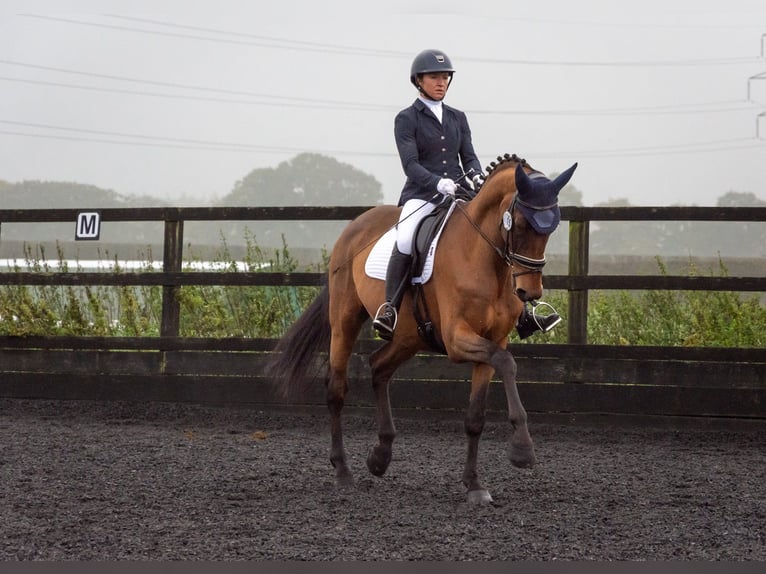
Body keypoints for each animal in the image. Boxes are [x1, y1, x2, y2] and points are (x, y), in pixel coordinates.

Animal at [268, 153, 580, 504]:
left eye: (552, 227)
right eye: (523, 224)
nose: (530, 292)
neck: (483, 257)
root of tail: (355, 226)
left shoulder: (493, 339)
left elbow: (477, 415)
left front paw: (475, 485)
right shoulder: (458, 340)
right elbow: (507, 362)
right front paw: (523, 450)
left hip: (409, 336)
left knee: (379, 368)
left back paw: (380, 456)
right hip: (345, 321)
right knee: (336, 389)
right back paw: (343, 471)